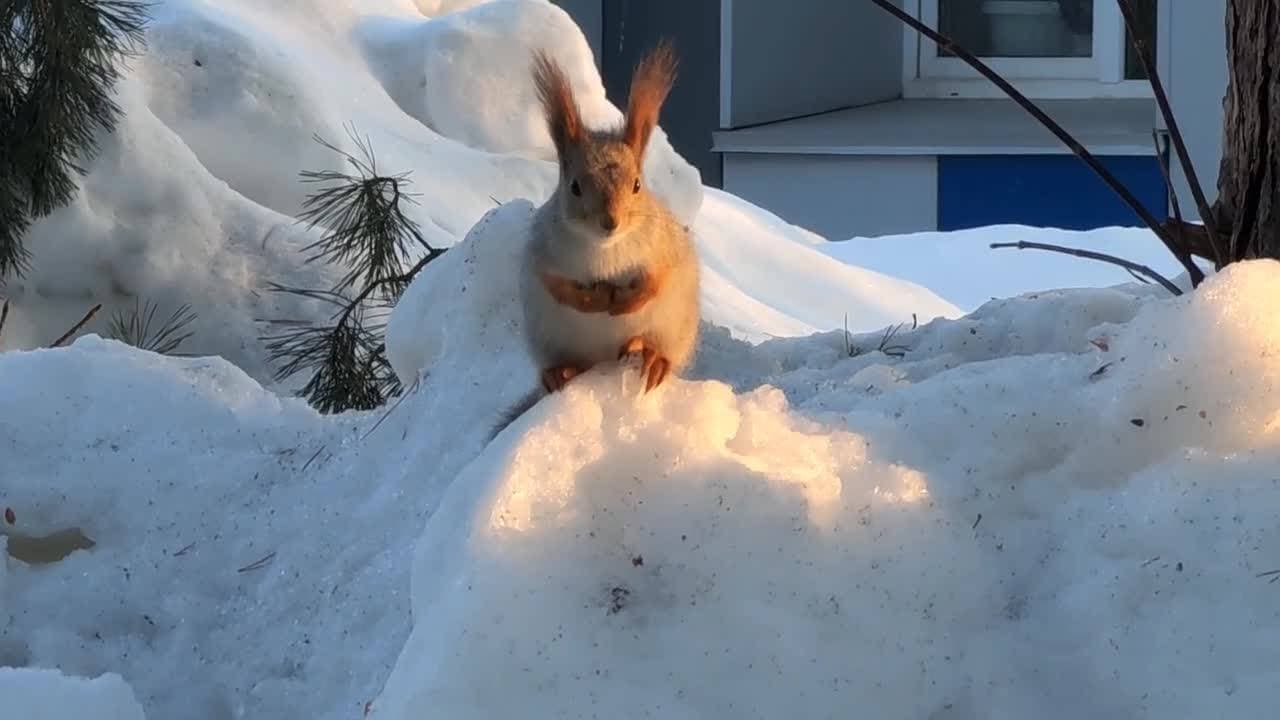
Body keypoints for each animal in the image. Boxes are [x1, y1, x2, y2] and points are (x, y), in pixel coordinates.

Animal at [489, 41, 701, 441]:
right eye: (574, 187)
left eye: (637, 185)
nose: (610, 222)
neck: (605, 252)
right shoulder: (543, 255)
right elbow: (557, 286)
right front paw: (594, 301)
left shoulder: (663, 249)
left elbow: (657, 279)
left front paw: (626, 302)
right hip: (549, 338)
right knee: (565, 365)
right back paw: (560, 373)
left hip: (675, 327)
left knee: (659, 348)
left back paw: (649, 356)